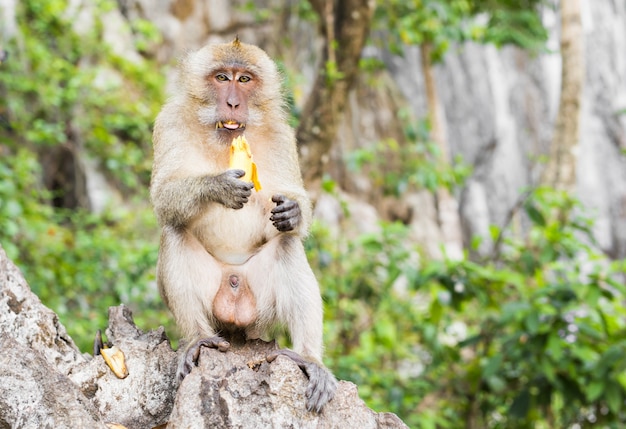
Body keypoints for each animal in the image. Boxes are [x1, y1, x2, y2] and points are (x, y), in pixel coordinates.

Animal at [150, 39, 336, 412]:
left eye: (245, 79)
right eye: (222, 77)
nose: (234, 102)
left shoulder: (282, 135)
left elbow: (292, 204)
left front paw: (293, 211)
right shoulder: (170, 122)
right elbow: (163, 197)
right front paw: (218, 186)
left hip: (261, 306)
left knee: (287, 243)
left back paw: (309, 359)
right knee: (175, 228)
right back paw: (198, 340)